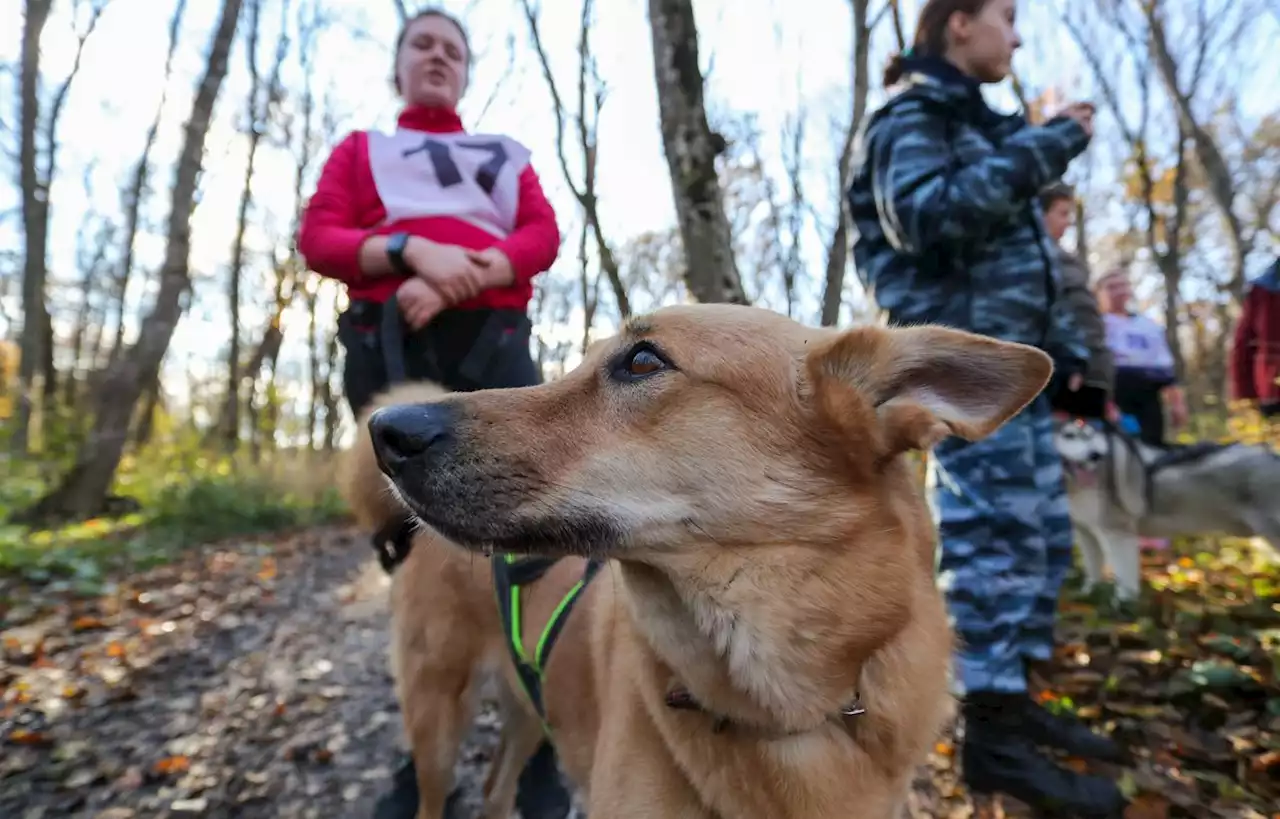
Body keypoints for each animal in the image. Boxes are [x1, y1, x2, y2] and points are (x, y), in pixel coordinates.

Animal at [1049, 419, 1280, 598]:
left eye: (1090, 437)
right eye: (1069, 435)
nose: (1095, 455)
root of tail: (1273, 455)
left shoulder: (1117, 532)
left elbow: (1124, 577)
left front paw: (1124, 607)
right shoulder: (1086, 533)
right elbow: (1093, 570)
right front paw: (1090, 594)